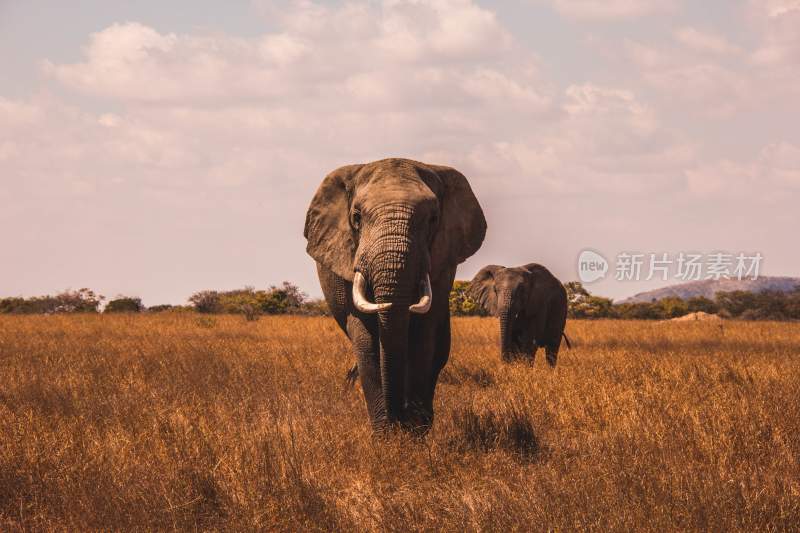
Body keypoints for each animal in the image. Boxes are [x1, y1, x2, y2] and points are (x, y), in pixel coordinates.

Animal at [302, 158, 484, 432]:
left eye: (433, 219)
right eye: (356, 218)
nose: (399, 418)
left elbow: (423, 336)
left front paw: (414, 432)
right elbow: (366, 339)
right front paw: (386, 435)